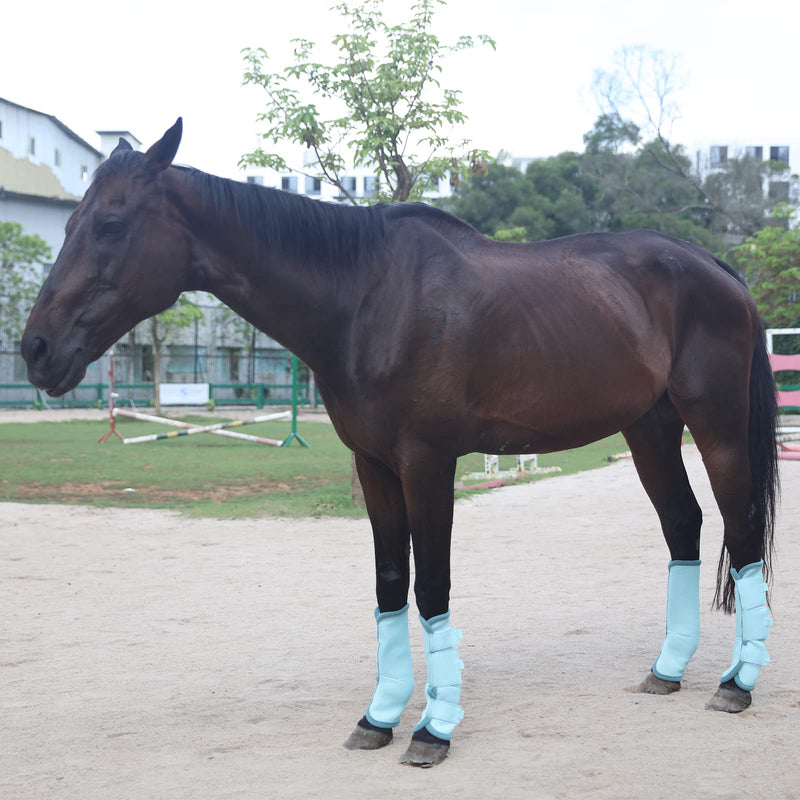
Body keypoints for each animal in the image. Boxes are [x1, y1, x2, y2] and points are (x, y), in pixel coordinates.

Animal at [21, 119, 778, 767]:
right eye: (70, 223)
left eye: (112, 224)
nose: (36, 350)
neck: (367, 297)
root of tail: (715, 266)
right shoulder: (375, 465)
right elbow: (389, 583)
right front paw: (378, 717)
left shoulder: (427, 463)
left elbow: (431, 584)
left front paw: (433, 729)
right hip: (649, 429)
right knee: (684, 525)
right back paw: (667, 670)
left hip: (715, 426)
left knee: (741, 530)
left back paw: (735, 684)